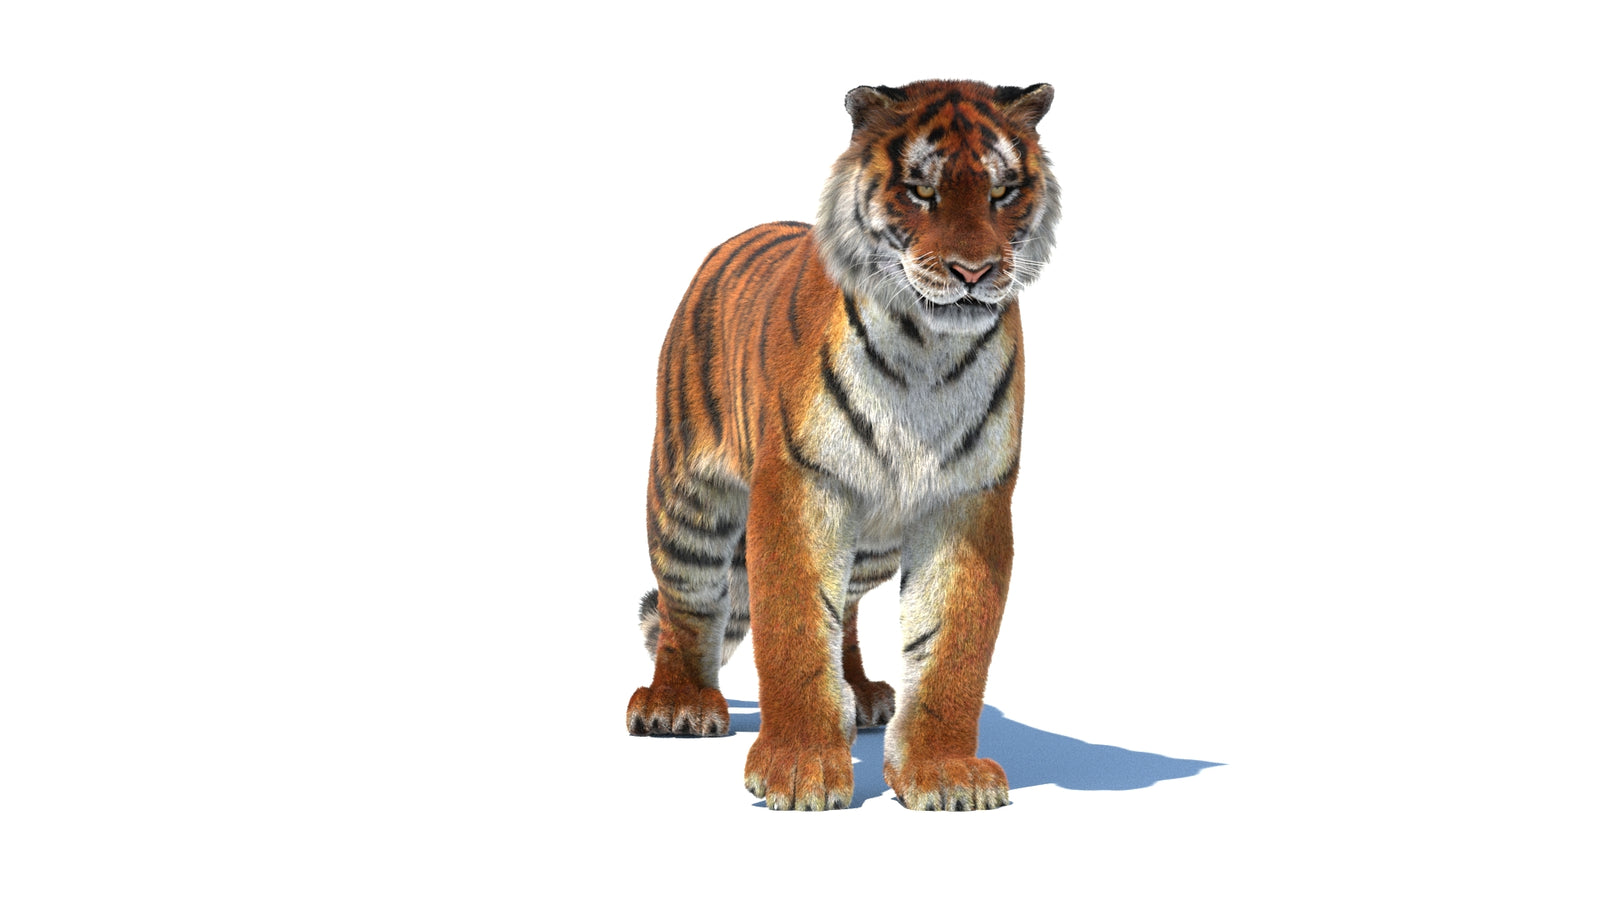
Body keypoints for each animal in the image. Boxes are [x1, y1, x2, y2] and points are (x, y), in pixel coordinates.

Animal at [625, 79, 1060, 812]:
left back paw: (860, 694)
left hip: (876, 540)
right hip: (689, 498)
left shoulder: (967, 501)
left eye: (1003, 192)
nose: (975, 271)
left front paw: (944, 773)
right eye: (919, 191)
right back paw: (678, 703)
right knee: (688, 603)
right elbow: (797, 627)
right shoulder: (801, 487)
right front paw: (798, 770)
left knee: (849, 607)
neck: (925, 351)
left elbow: (950, 649)